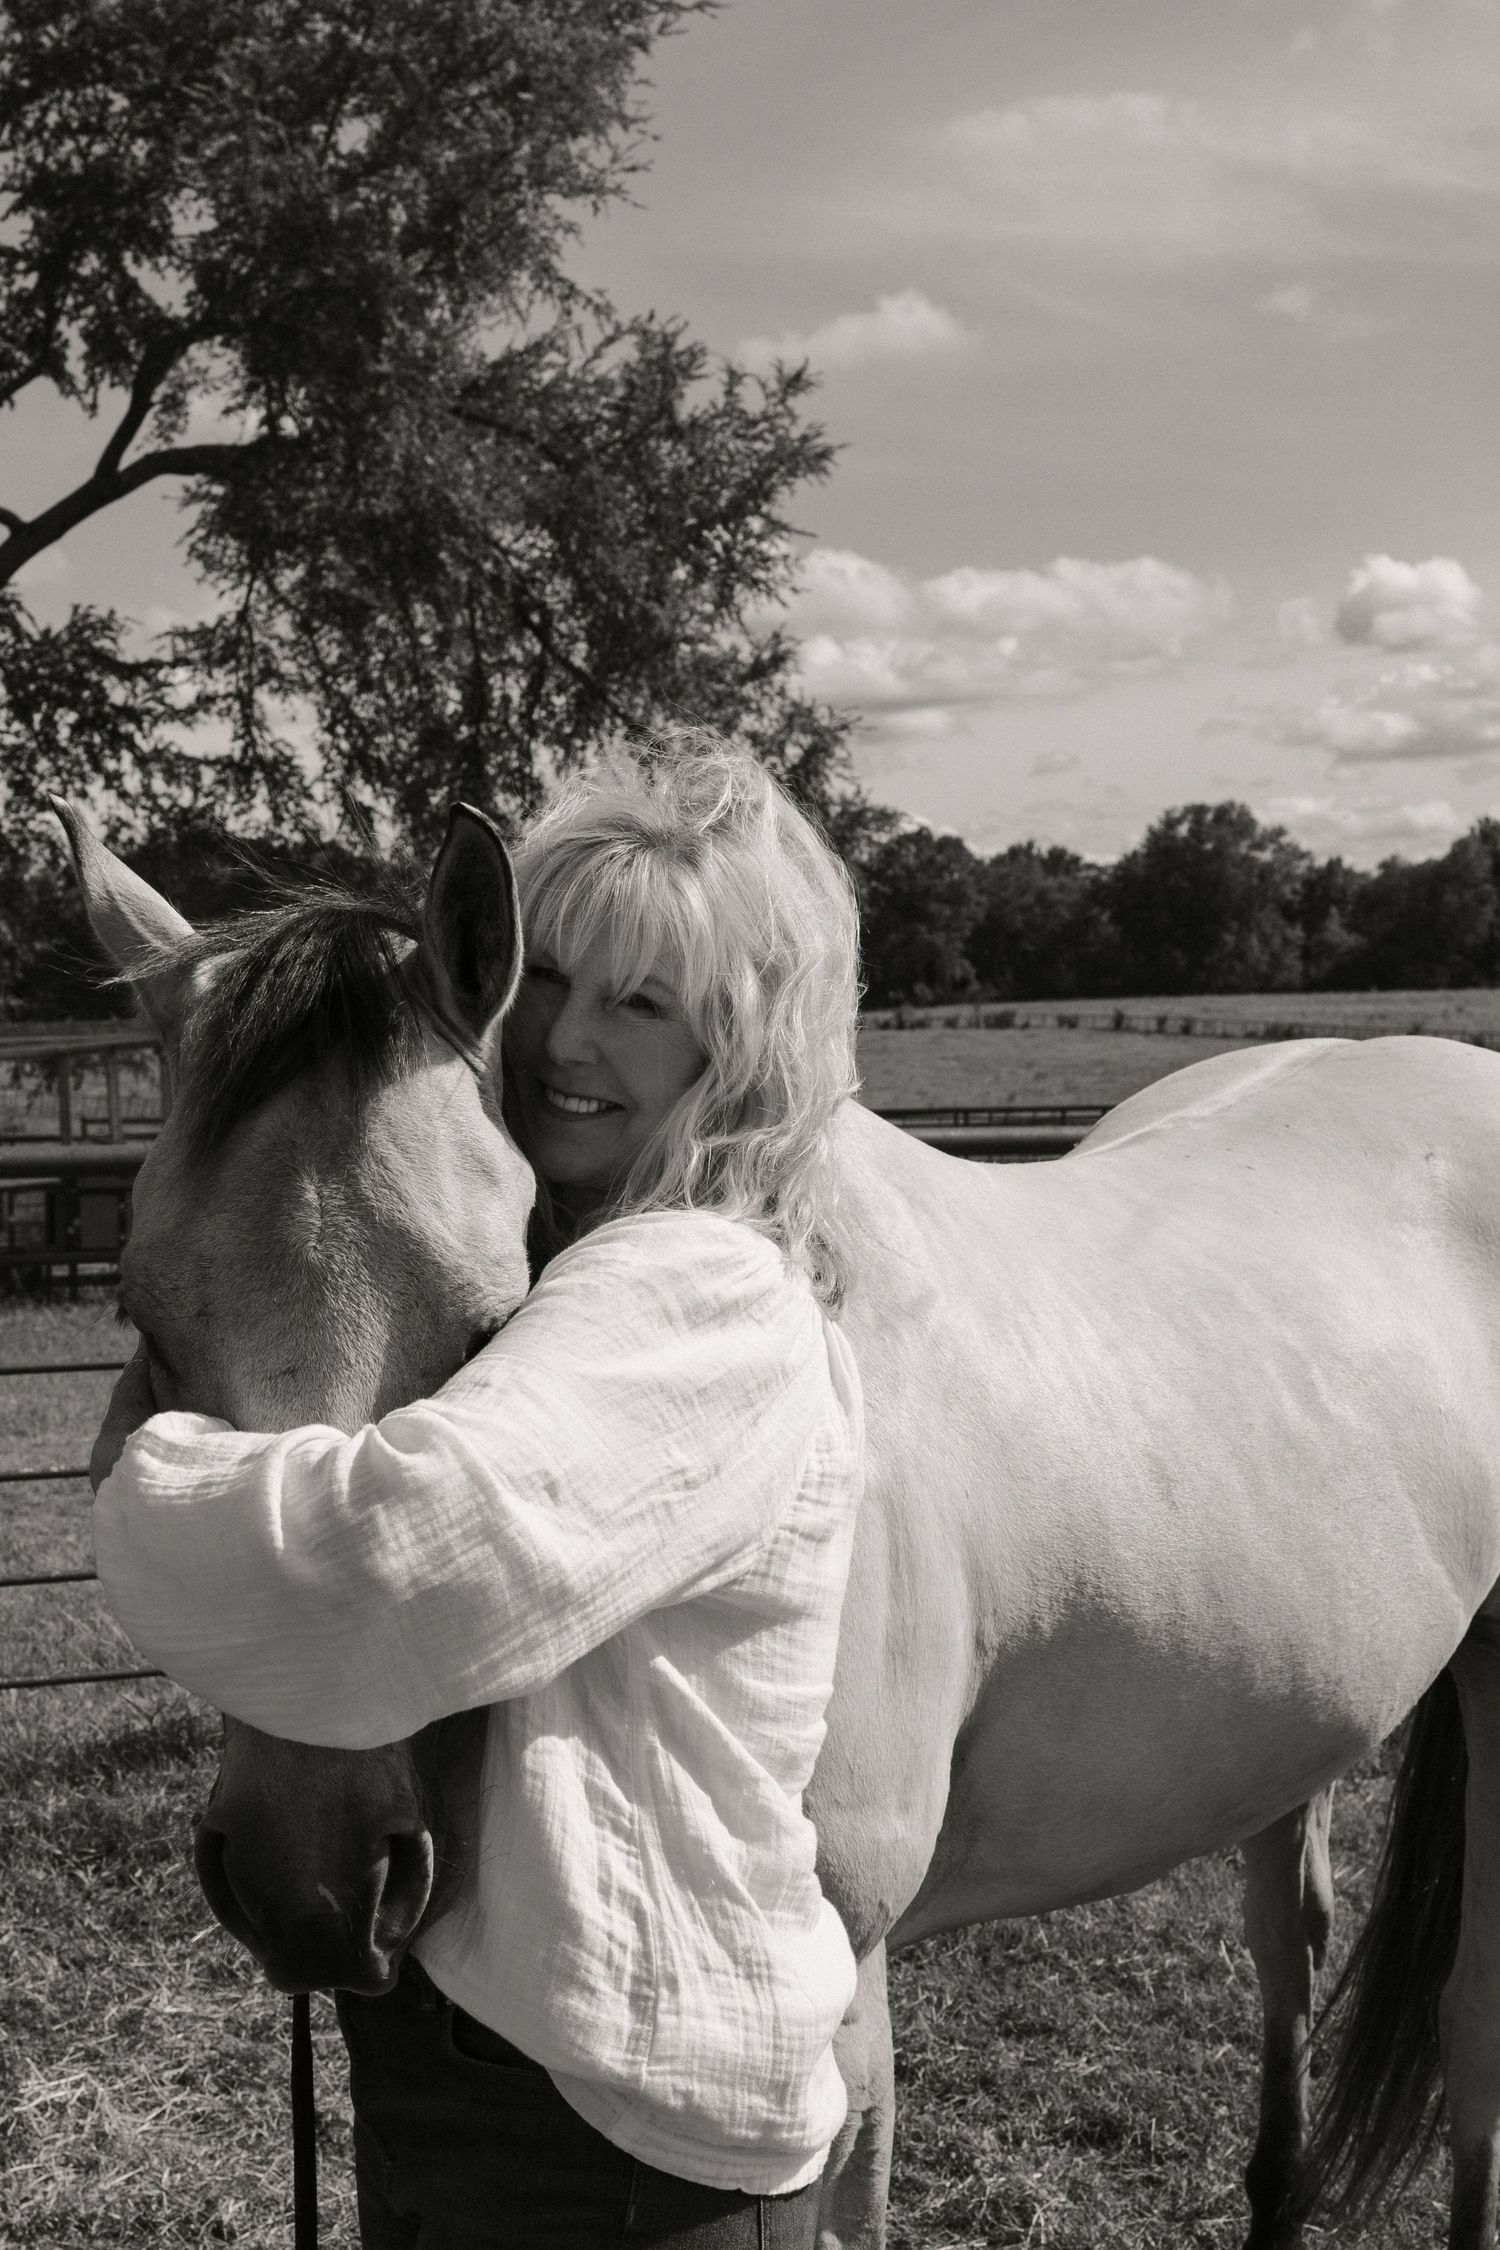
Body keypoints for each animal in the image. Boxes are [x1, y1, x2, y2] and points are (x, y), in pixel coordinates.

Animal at [60, 797, 1500, 2249]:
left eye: (488, 1324)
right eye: (144, 1321)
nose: (310, 1887)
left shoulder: (844, 1989)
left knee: (1467, 2032)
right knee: (1291, 1938)